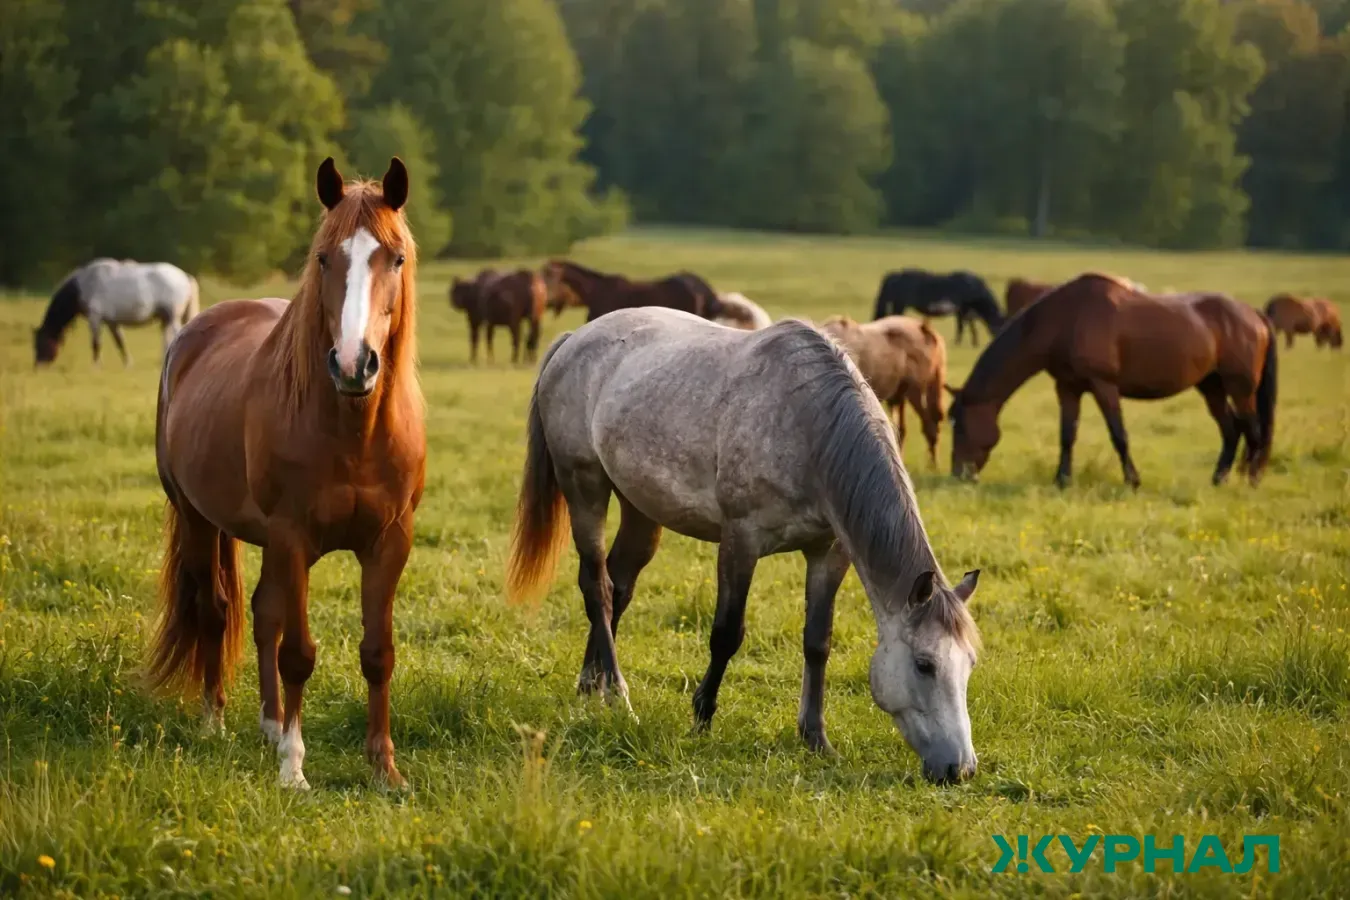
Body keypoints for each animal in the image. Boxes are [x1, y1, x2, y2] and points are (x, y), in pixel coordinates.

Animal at [34, 258, 199, 367]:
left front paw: (96, 366)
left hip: (172, 317)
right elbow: (120, 342)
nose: (38, 366)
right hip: (165, 319)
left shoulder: (95, 318)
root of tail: (184, 276)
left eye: (40, 342)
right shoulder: (112, 322)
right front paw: (128, 363)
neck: (84, 286)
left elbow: (96, 342)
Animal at [149, 158, 425, 790]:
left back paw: (272, 725)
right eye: (324, 258)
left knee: (261, 615)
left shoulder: (389, 541)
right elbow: (298, 652)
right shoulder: (293, 536)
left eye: (396, 258)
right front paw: (294, 771)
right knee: (216, 610)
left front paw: (384, 767)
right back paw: (216, 722)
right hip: (199, 519)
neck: (352, 430)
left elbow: (378, 653)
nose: (354, 364)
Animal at [820, 315, 948, 466]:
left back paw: (933, 464)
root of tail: (925, 329)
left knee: (929, 426)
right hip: (903, 394)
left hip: (915, 392)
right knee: (905, 430)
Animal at [872, 269, 1004, 346]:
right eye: (1001, 323)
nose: (997, 339)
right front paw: (958, 342)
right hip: (900, 304)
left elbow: (971, 326)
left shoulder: (966, 312)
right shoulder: (962, 309)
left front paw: (974, 343)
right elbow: (961, 327)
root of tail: (895, 275)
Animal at [948, 274, 1277, 489]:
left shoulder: (1103, 386)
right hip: (1211, 387)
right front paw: (1062, 480)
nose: (958, 473)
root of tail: (1253, 314)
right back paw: (1219, 478)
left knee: (1253, 430)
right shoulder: (1068, 388)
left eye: (959, 425)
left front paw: (1132, 480)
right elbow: (1067, 435)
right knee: (1232, 430)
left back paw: (1251, 480)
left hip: (1240, 389)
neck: (1066, 319)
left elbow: (1119, 435)